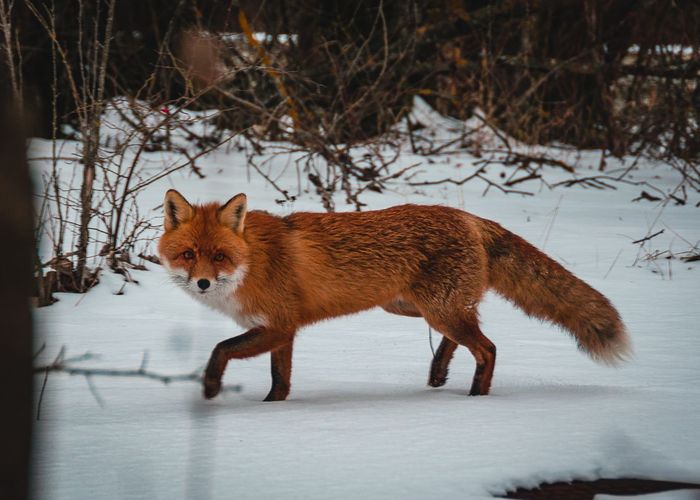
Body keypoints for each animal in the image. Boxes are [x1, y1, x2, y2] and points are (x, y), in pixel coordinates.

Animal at [159, 189, 628, 400]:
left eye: (219, 256)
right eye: (188, 255)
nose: (202, 283)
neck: (252, 261)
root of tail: (468, 216)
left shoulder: (277, 325)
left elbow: (220, 349)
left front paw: (211, 387)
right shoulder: (282, 331)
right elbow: (281, 380)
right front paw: (272, 408)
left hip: (435, 308)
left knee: (488, 347)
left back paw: (476, 399)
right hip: (413, 306)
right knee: (464, 336)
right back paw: (438, 374)